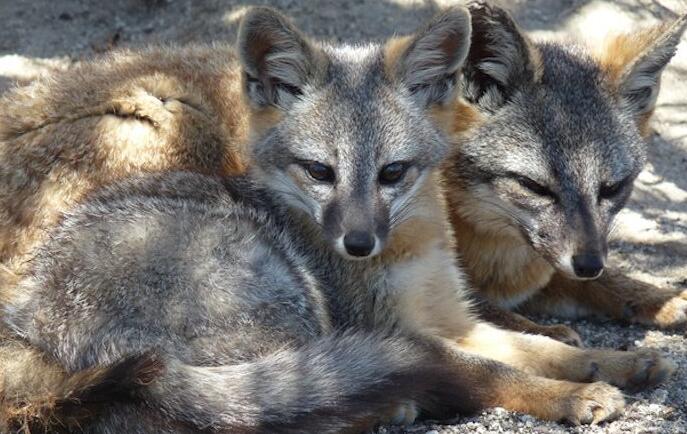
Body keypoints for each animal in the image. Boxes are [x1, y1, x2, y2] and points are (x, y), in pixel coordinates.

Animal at [440, 0, 687, 346]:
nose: (589, 264)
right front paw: (546, 334)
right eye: (533, 186)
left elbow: (606, 282)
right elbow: (479, 308)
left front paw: (660, 298)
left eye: (612, 188)